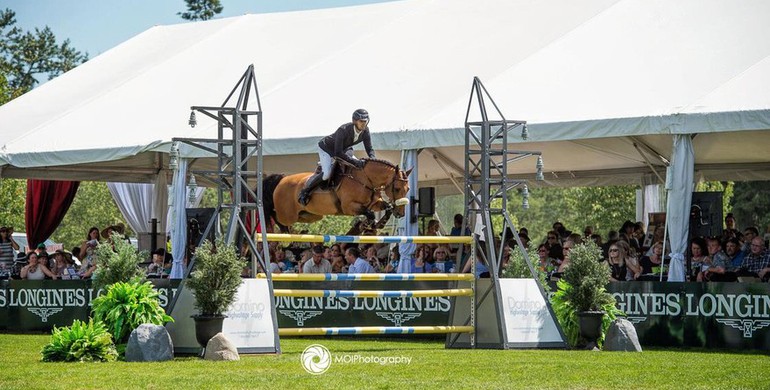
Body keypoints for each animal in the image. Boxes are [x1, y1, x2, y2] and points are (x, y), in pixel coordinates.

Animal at [262, 158, 412, 232]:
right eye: (397, 189)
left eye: (408, 189)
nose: (400, 214)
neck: (364, 179)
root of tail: (281, 179)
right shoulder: (349, 207)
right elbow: (369, 213)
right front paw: (369, 224)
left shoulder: (374, 203)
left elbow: (386, 208)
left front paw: (378, 224)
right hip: (287, 215)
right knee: (276, 216)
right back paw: (283, 229)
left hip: (310, 215)